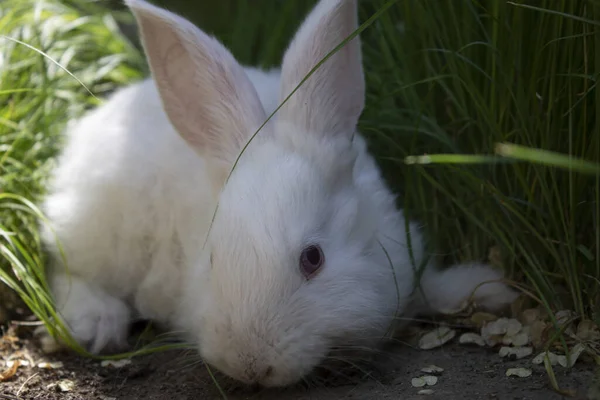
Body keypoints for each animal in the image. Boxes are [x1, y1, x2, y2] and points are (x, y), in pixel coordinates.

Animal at [39, 0, 516, 388]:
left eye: (313, 259)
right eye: (212, 259)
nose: (249, 362)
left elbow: (433, 286)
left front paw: (490, 290)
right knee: (68, 271)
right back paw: (97, 324)